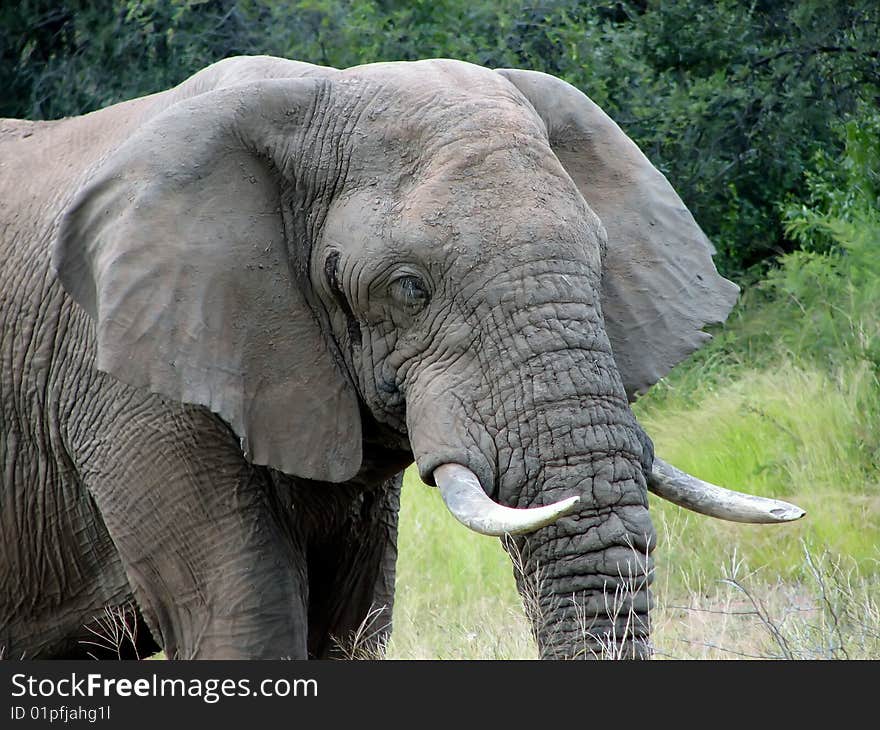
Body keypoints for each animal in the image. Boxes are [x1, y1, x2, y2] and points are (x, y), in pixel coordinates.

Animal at [0, 55, 804, 660]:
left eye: (601, 259)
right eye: (408, 287)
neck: (311, 91)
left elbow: (350, 626)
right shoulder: (133, 392)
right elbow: (241, 623)